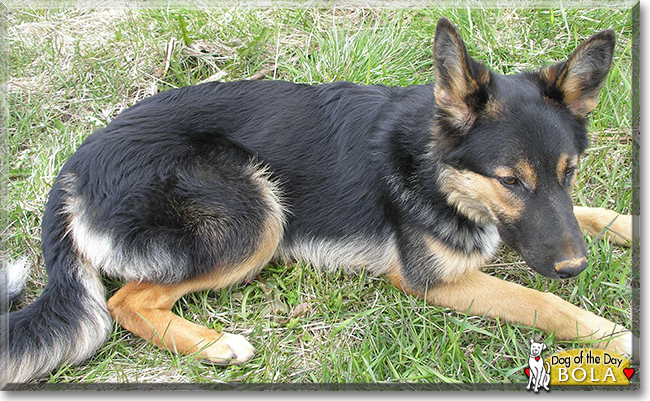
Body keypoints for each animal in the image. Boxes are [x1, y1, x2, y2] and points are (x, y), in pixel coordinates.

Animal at [0, 17, 632, 382]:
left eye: (569, 172)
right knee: (125, 301)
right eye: (510, 181)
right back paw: (215, 347)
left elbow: (593, 215)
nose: (575, 267)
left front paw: (627, 226)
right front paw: (619, 336)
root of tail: (73, 169)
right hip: (257, 214)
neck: (436, 167)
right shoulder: (434, 280)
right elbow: (546, 303)